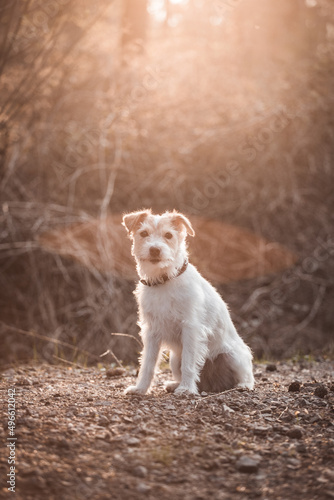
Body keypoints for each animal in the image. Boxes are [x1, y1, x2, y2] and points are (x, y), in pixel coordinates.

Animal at [122, 209, 253, 396]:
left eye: (168, 235)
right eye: (144, 233)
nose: (155, 250)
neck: (165, 280)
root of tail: (213, 384)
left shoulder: (191, 328)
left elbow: (189, 362)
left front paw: (186, 389)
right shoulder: (151, 332)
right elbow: (148, 364)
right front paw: (140, 388)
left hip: (233, 355)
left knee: (246, 374)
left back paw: (243, 385)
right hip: (175, 358)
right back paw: (175, 384)